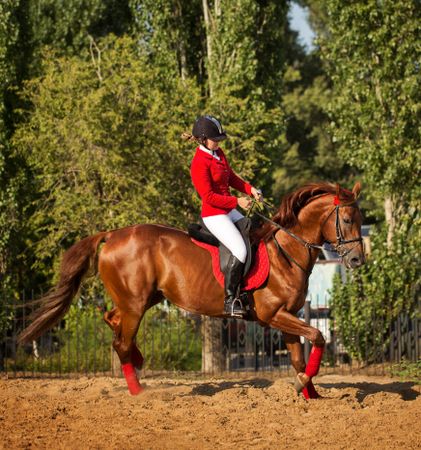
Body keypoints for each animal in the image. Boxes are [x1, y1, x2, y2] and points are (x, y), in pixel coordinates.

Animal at [18, 181, 364, 400]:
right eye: (347, 219)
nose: (357, 259)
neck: (286, 251)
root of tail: (113, 234)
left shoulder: (288, 316)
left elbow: (297, 357)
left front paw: (310, 393)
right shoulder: (274, 315)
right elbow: (317, 336)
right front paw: (305, 384)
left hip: (143, 299)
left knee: (112, 321)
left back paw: (138, 362)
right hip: (136, 304)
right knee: (121, 341)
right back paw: (138, 392)